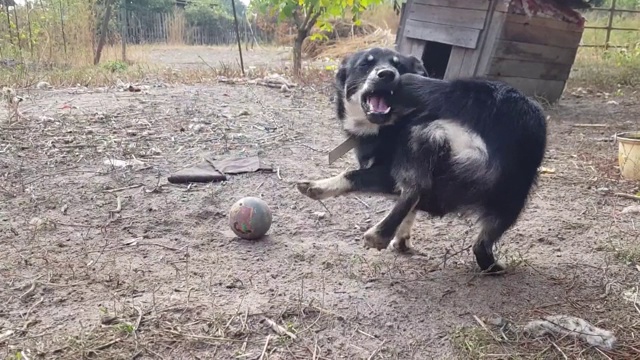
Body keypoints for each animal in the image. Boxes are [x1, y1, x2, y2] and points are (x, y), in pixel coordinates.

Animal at [296, 47, 544, 272]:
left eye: (399, 66)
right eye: (365, 64)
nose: (387, 74)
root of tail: (494, 104)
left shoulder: (387, 173)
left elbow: (352, 174)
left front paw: (317, 186)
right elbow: (411, 210)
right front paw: (402, 239)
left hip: (422, 133)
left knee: (417, 187)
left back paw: (379, 234)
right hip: (512, 196)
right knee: (481, 243)